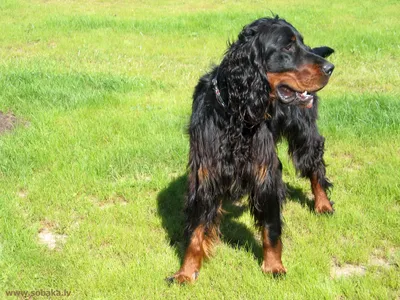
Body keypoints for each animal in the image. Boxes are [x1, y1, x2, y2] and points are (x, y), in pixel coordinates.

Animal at [169, 15, 334, 284]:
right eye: (288, 47)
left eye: (301, 42)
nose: (330, 68)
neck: (236, 113)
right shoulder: (205, 173)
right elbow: (195, 231)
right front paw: (185, 272)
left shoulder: (264, 170)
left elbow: (271, 227)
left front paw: (274, 266)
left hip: (303, 130)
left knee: (314, 162)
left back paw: (323, 204)